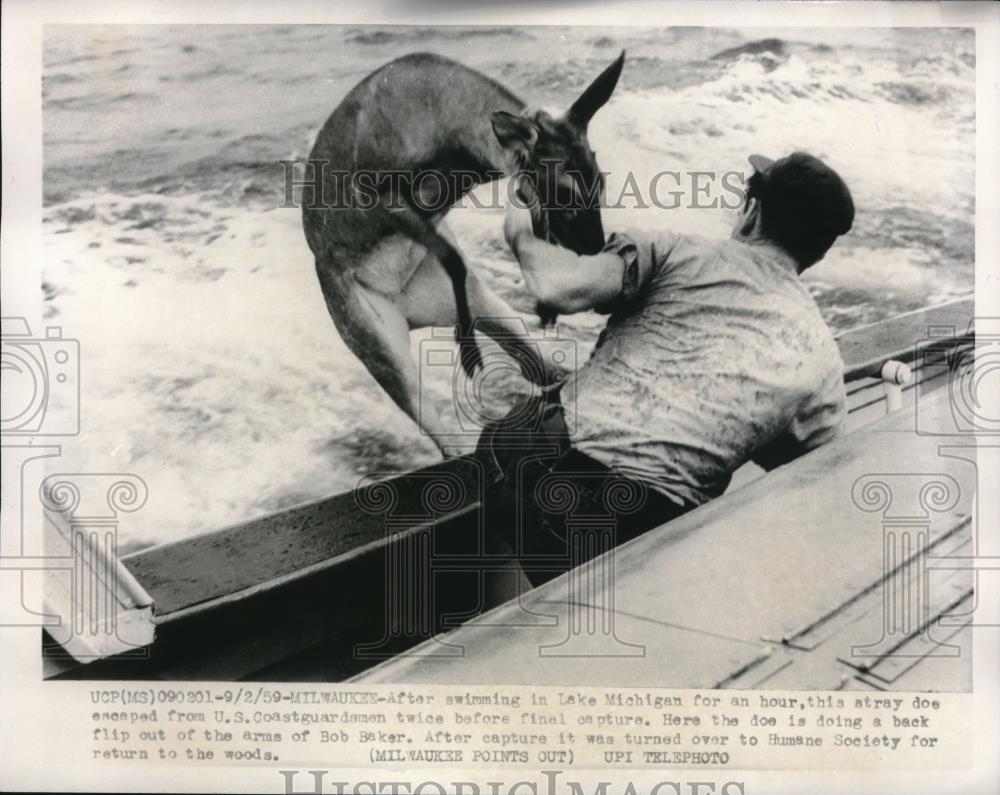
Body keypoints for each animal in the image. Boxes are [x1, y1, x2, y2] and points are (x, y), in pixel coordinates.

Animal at [300, 51, 624, 454]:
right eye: (565, 191)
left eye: (601, 179)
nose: (596, 249)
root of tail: (411, 314)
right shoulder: (381, 197)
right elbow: (453, 259)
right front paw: (469, 354)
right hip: (376, 344)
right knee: (444, 439)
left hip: (484, 307)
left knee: (539, 371)